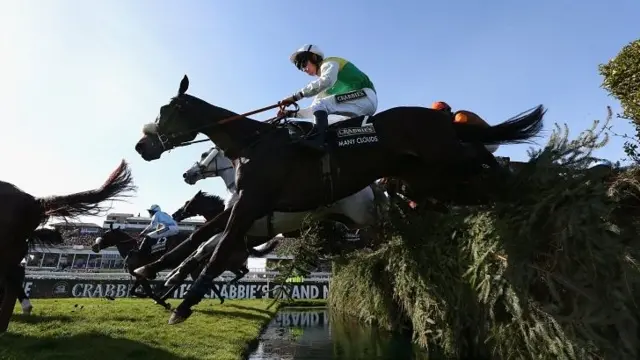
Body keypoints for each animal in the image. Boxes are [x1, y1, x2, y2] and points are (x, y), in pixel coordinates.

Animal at [132, 75, 544, 324]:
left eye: (166, 111)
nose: (141, 146)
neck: (253, 144)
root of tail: (443, 117)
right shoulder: (244, 205)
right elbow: (194, 239)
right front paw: (148, 273)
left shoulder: (250, 205)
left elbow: (216, 251)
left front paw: (182, 305)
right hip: (429, 180)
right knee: (472, 186)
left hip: (445, 162)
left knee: (486, 164)